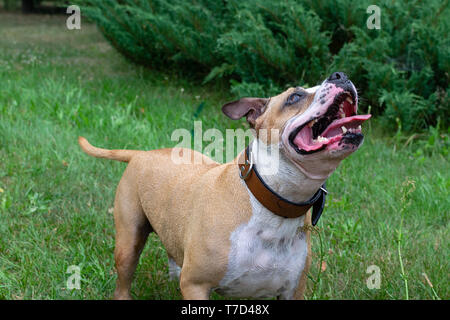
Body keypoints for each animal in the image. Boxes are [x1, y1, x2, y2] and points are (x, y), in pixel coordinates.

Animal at [79, 71, 370, 298]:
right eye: (295, 97)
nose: (340, 75)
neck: (270, 202)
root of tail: (141, 154)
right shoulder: (196, 286)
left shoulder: (292, 292)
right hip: (128, 242)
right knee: (124, 280)